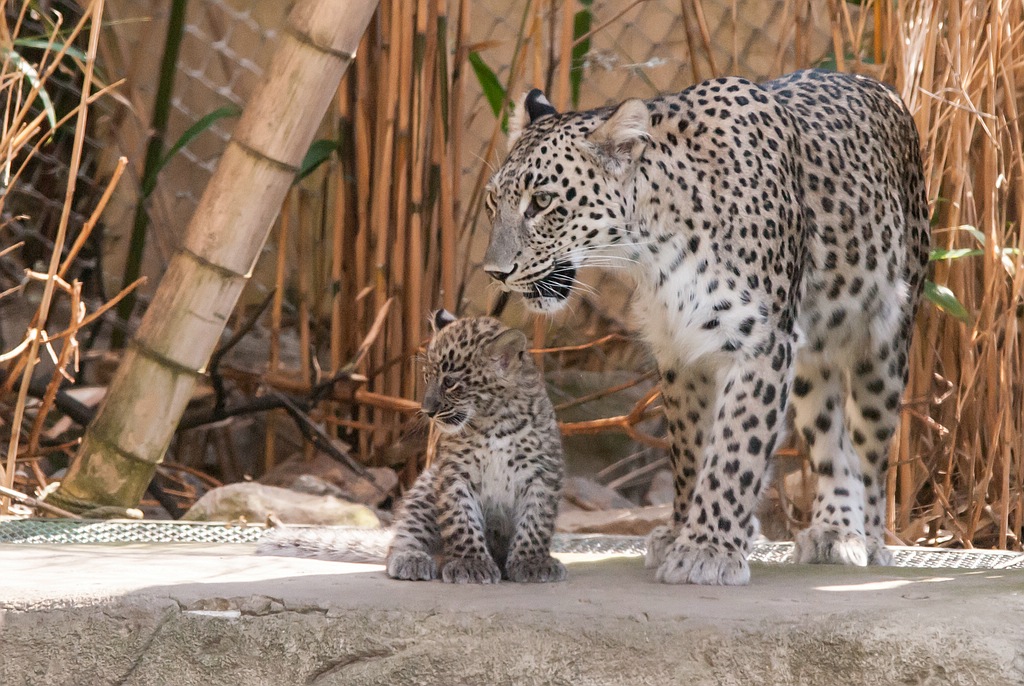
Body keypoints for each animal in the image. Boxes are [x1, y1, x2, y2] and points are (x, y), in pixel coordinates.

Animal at [258, 310, 567, 584]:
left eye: (450, 382)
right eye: (427, 377)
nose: (427, 410)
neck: (493, 422)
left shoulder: (541, 475)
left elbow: (535, 522)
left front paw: (532, 562)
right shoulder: (454, 475)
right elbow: (462, 521)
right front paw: (471, 564)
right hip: (425, 490)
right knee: (402, 538)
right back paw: (413, 559)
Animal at [482, 68, 930, 585]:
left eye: (542, 202)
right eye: (493, 201)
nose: (495, 272)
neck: (652, 246)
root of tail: (880, 87)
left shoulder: (761, 343)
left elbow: (736, 447)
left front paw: (708, 548)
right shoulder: (679, 349)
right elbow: (691, 450)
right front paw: (684, 532)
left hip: (885, 343)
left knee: (870, 450)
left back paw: (867, 539)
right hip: (812, 362)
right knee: (829, 440)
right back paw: (832, 530)